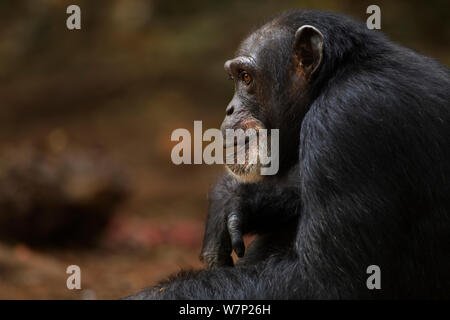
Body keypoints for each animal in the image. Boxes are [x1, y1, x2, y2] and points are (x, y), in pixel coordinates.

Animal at [125, 10, 450, 300]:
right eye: (235, 78)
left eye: (246, 77)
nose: (230, 108)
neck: (332, 79)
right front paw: (231, 198)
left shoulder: (348, 121)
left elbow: (326, 282)